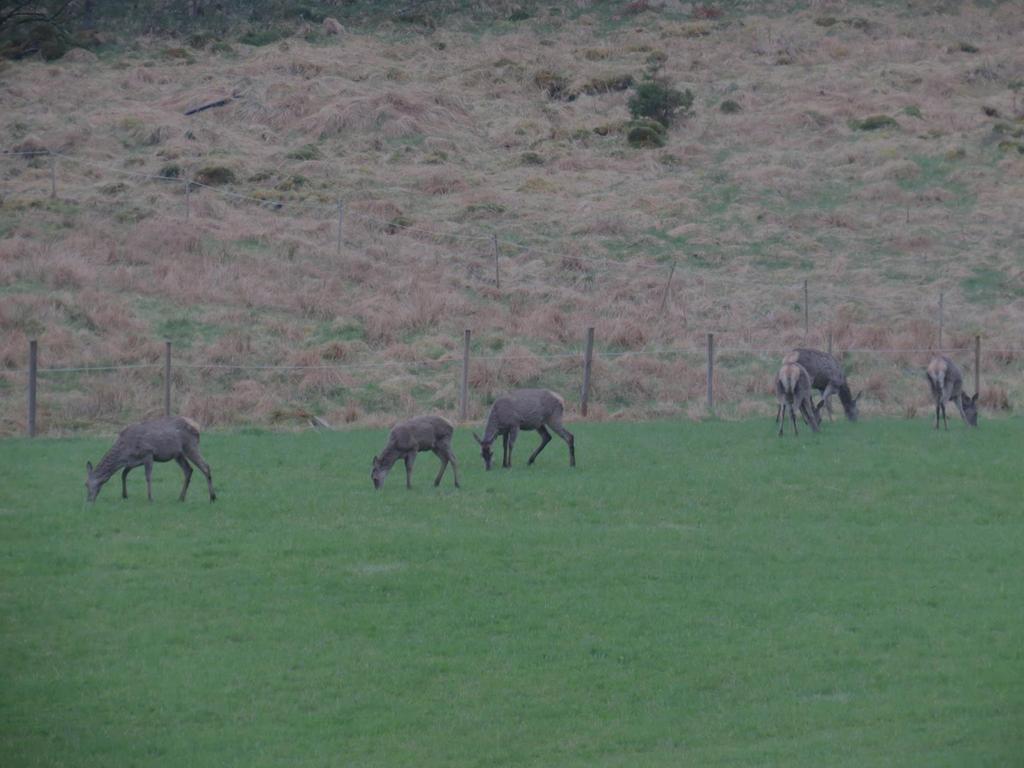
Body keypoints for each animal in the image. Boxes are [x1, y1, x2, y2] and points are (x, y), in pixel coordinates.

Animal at [86, 415, 216, 505]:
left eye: (86, 484)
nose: (88, 500)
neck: (124, 453)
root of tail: (197, 427)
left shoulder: (148, 453)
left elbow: (148, 477)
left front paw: (150, 498)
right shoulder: (134, 461)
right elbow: (124, 474)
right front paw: (124, 495)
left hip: (190, 446)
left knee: (205, 466)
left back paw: (212, 497)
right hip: (178, 454)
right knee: (188, 470)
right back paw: (181, 498)